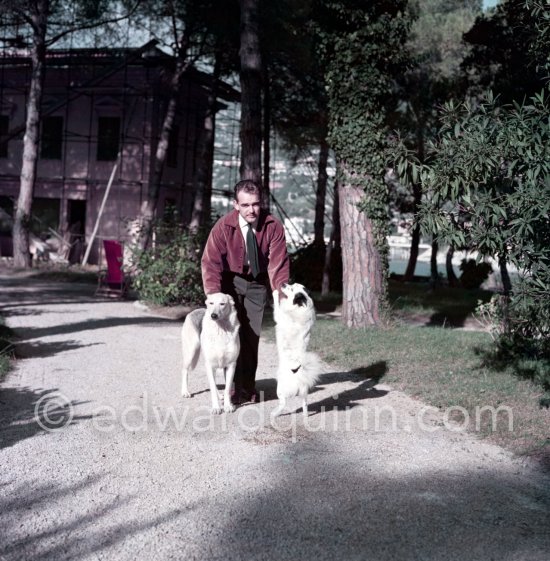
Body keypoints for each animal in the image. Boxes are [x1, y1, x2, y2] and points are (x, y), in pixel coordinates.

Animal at [272, 280, 320, 416]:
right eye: (292, 284)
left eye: (292, 289)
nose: (283, 283)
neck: (301, 306)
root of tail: (298, 372)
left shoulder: (279, 316)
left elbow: (277, 306)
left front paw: (275, 293)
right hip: (304, 391)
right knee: (305, 404)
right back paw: (305, 415)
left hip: (280, 389)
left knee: (283, 403)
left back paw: (274, 413)